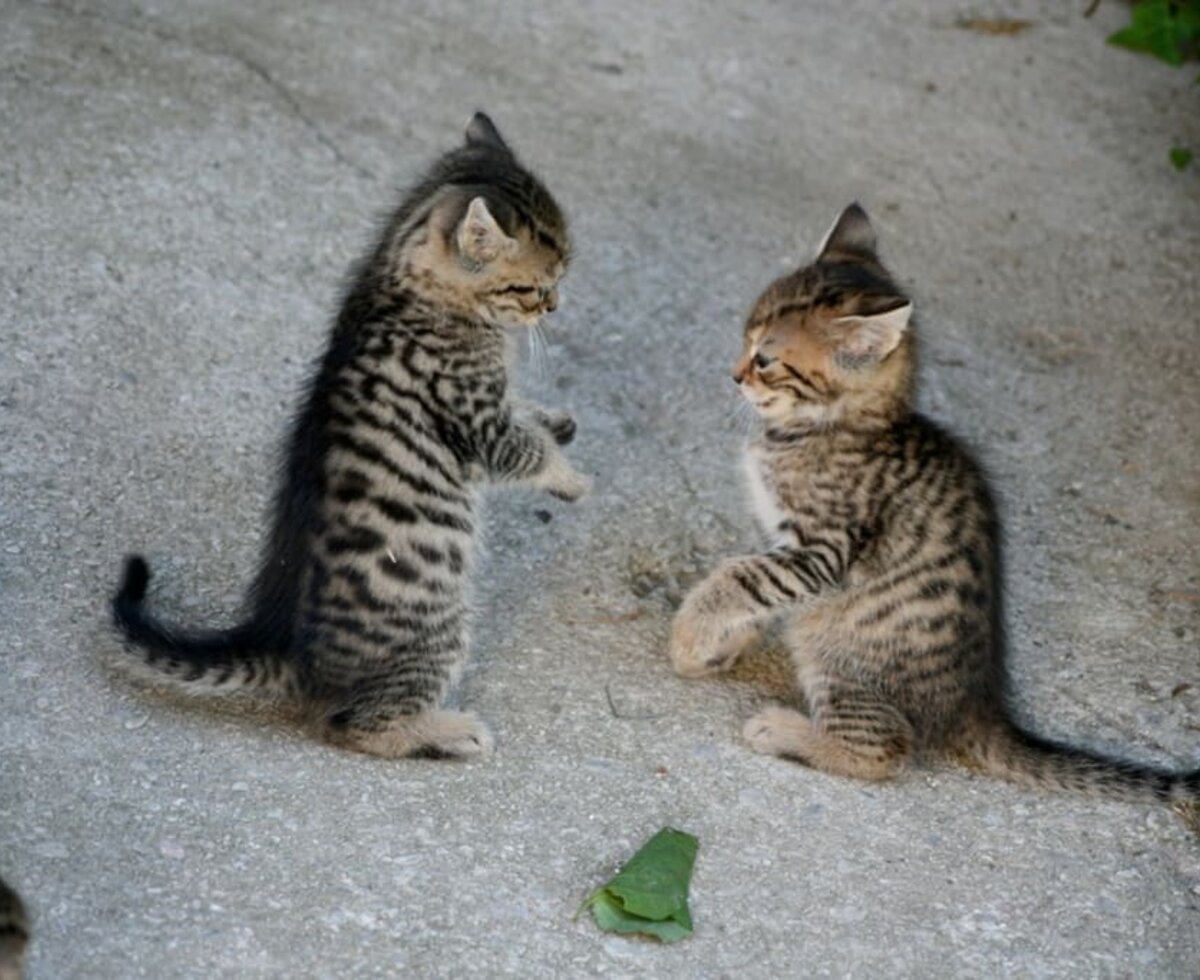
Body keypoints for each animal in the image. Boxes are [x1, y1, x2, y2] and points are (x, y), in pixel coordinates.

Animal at [110, 112, 588, 758]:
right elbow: (523, 451)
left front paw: (555, 421)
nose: (555, 306)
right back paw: (445, 731)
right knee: (353, 725)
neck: (400, 282)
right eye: (535, 287)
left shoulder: (492, 401)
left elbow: (526, 416)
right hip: (439, 627)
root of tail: (287, 648)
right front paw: (570, 477)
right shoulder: (474, 419)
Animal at [672, 206, 1195, 820]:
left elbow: (739, 577)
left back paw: (784, 731)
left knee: (884, 751)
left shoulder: (822, 549)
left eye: (765, 360)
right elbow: (753, 587)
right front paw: (718, 646)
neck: (830, 426)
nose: (734, 375)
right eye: (745, 340)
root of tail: (978, 704)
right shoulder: (784, 543)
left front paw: (689, 632)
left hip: (837, 652)